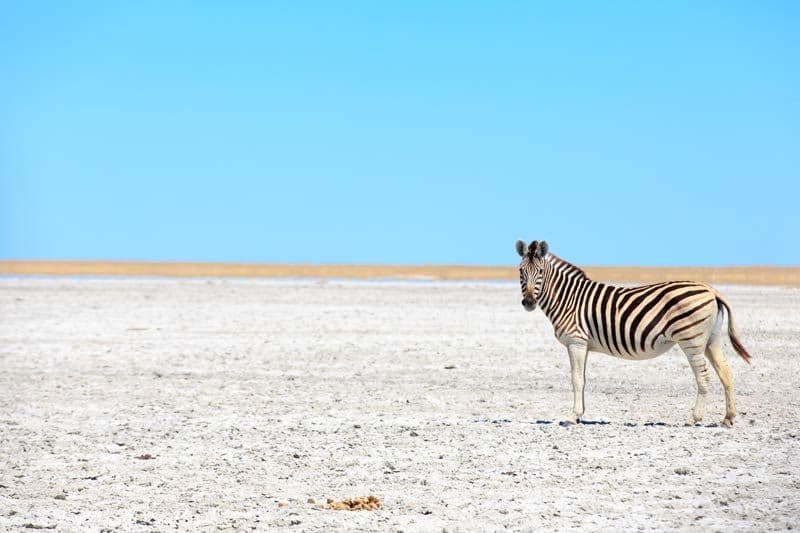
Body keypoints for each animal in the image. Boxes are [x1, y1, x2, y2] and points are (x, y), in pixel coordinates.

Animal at [516, 239, 751, 427]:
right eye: (520, 272)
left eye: (540, 273)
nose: (528, 303)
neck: (567, 298)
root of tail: (711, 290)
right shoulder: (584, 344)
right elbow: (583, 378)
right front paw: (581, 414)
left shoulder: (576, 342)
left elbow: (576, 379)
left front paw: (573, 417)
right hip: (711, 340)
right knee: (725, 372)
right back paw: (728, 418)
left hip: (691, 340)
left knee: (703, 376)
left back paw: (694, 418)